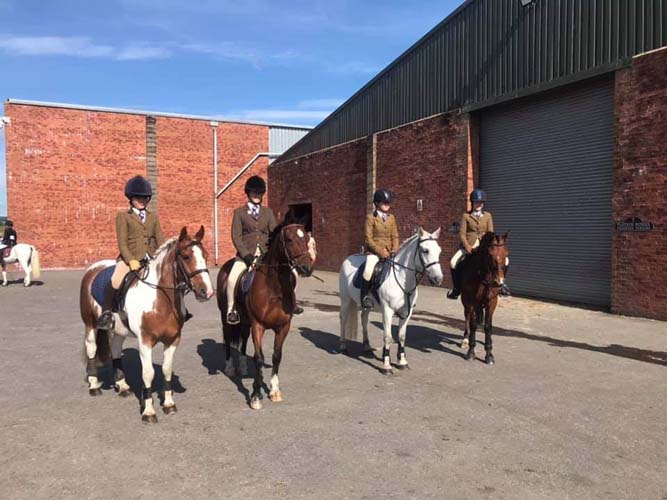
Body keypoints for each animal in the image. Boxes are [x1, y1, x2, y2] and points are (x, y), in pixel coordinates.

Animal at [217, 219, 316, 410]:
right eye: (290, 240)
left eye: (307, 238)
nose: (306, 268)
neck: (274, 288)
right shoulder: (258, 326)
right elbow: (259, 358)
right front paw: (256, 396)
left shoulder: (283, 327)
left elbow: (277, 356)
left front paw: (274, 391)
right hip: (226, 318)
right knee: (227, 338)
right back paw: (229, 367)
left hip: (246, 322)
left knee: (243, 339)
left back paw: (242, 365)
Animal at [342, 229, 446, 374]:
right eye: (425, 250)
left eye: (439, 251)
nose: (438, 279)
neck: (403, 280)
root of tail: (348, 258)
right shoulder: (387, 311)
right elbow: (388, 337)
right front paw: (386, 365)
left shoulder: (407, 312)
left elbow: (401, 336)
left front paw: (402, 362)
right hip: (345, 300)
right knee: (343, 319)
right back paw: (343, 346)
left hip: (366, 306)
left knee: (364, 319)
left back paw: (367, 347)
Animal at [460, 232, 512, 366]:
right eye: (489, 254)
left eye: (506, 253)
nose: (499, 281)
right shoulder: (472, 301)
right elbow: (473, 324)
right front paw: (471, 352)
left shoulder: (492, 301)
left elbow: (488, 326)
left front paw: (489, 355)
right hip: (465, 301)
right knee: (467, 317)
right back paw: (465, 339)